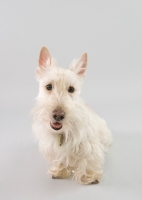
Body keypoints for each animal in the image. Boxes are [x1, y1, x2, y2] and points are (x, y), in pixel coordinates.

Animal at [31, 47, 112, 184]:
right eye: (49, 86)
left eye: (71, 89)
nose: (58, 115)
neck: (62, 132)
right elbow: (61, 158)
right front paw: (60, 170)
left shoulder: (89, 144)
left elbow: (89, 159)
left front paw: (89, 175)